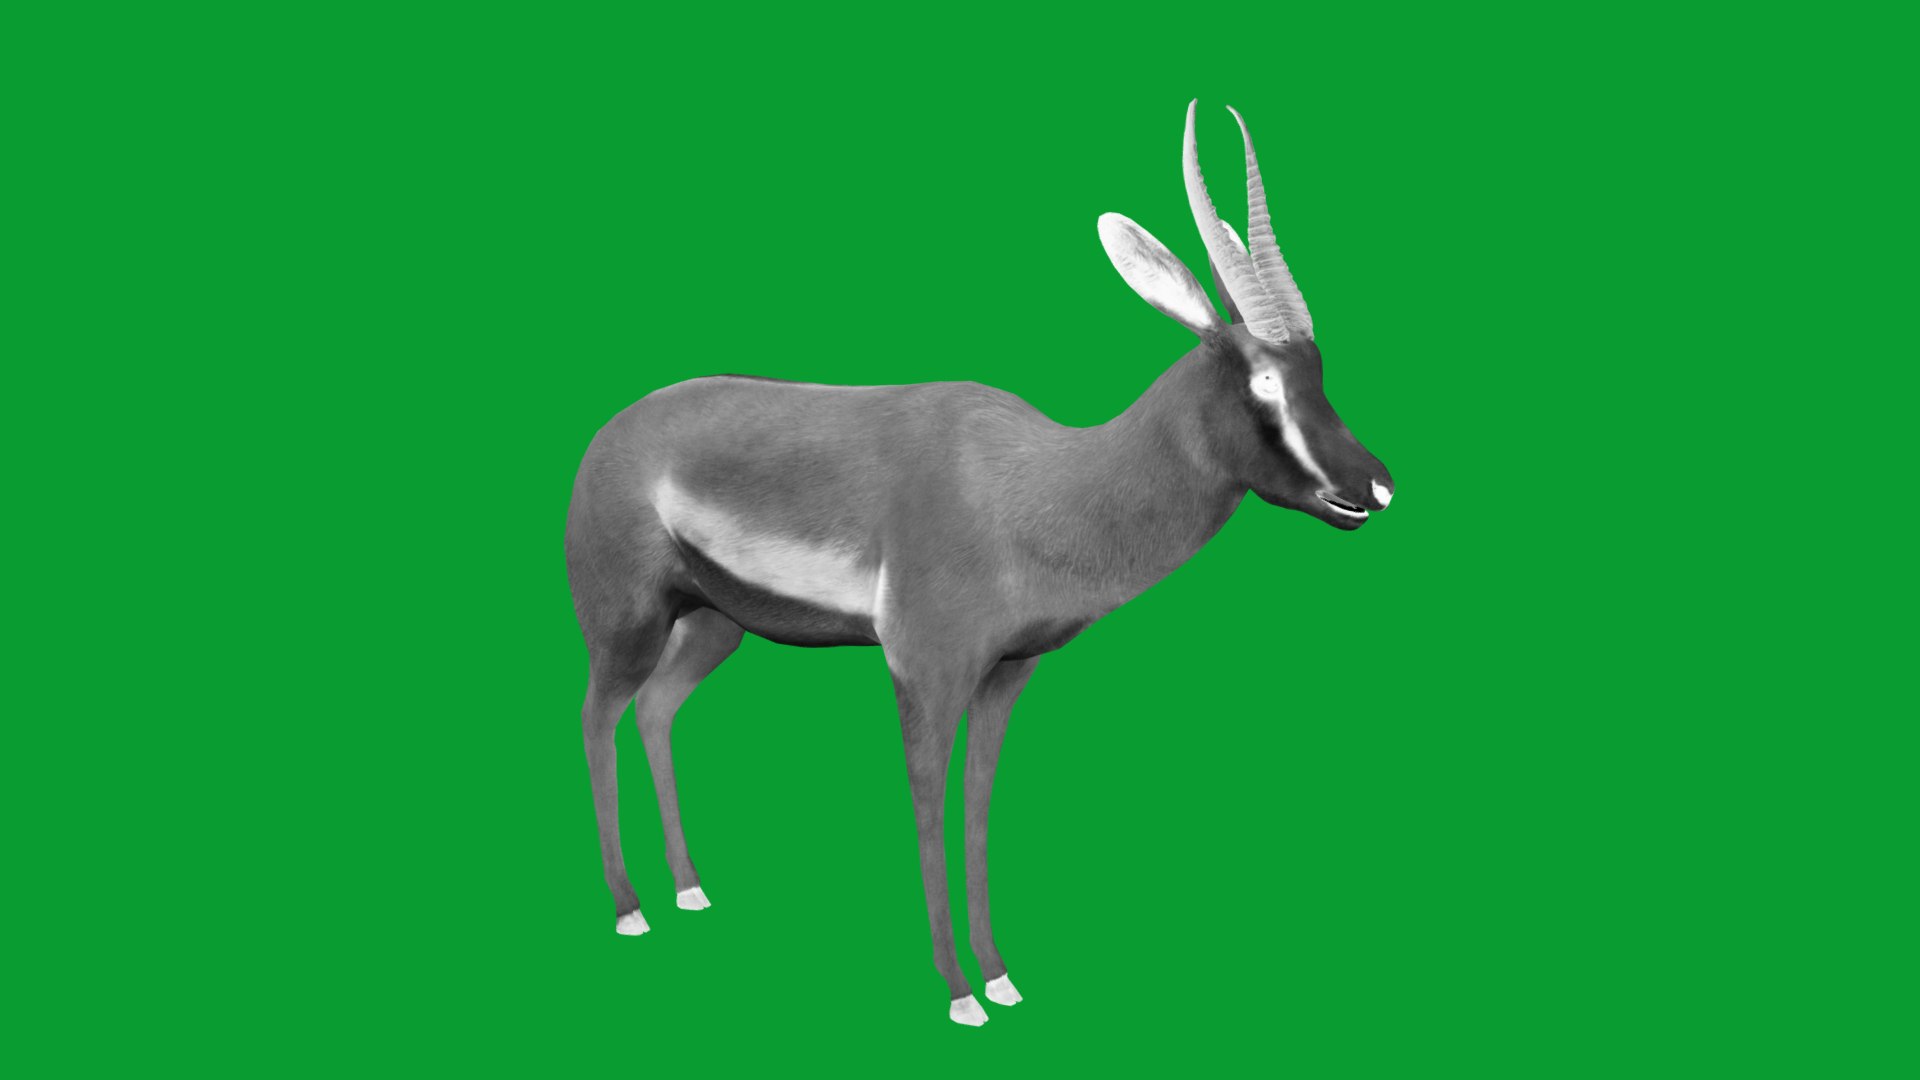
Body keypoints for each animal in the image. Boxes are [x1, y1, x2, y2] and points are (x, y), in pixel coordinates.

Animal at [564, 100, 1393, 1026]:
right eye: (1263, 380)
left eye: (1319, 372)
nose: (1374, 486)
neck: (1039, 491)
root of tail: (608, 435)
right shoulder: (922, 668)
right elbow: (928, 801)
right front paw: (960, 992)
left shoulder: (1006, 672)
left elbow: (978, 799)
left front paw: (1000, 975)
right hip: (628, 623)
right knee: (597, 717)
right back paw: (630, 908)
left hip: (714, 625)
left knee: (655, 711)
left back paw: (690, 890)